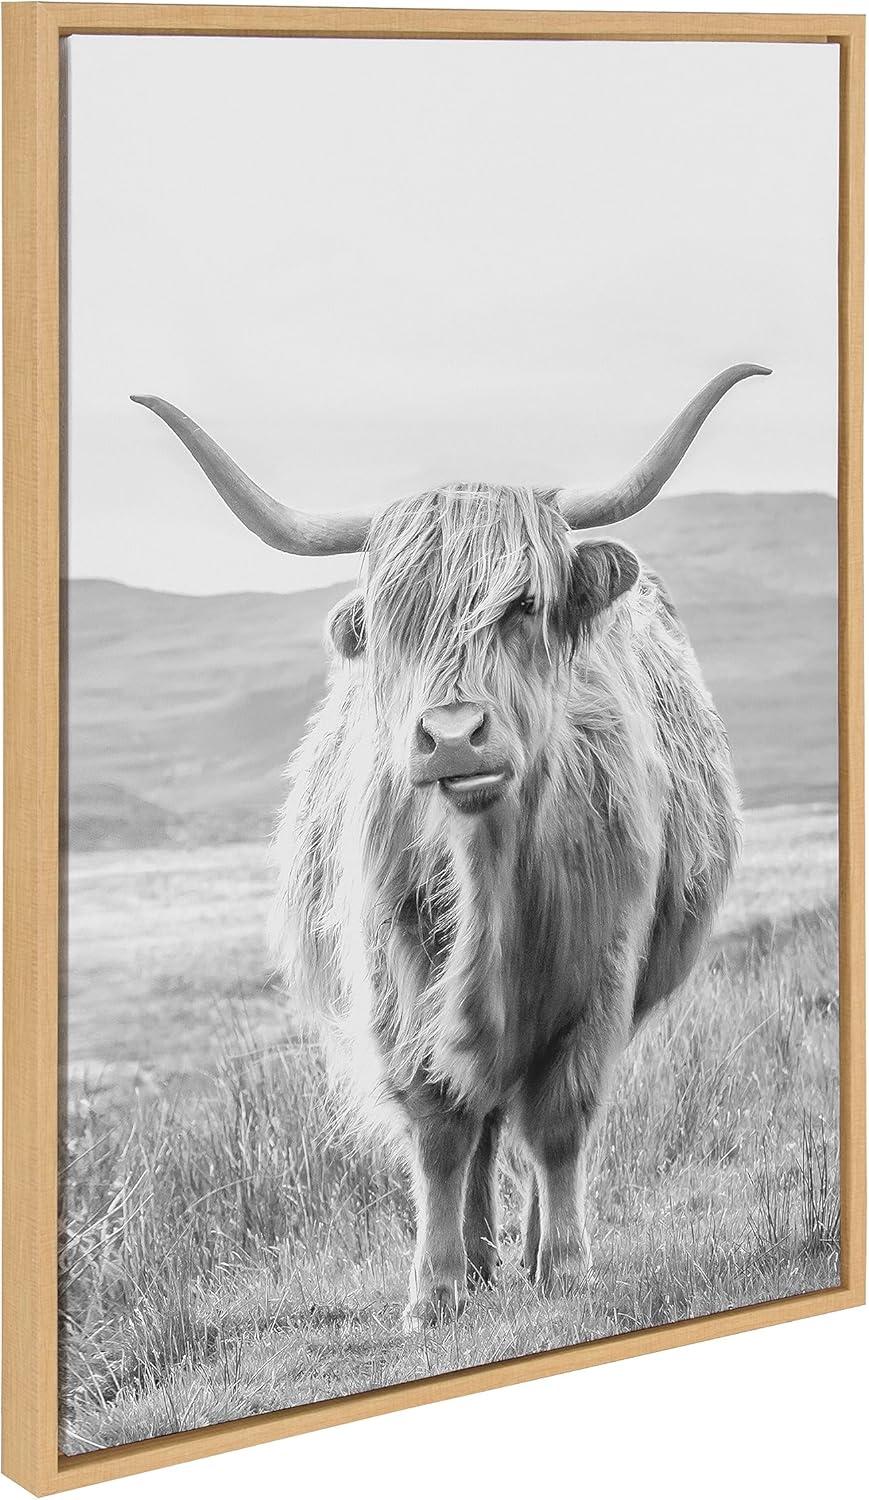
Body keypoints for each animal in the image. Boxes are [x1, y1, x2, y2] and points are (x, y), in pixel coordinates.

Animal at [132, 364, 765, 1328]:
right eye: (393, 620)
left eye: (524, 606)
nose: (452, 737)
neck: (487, 877)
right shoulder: (393, 973)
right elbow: (438, 1122)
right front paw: (432, 1290)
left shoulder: (603, 967)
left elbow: (560, 1116)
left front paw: (565, 1267)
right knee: (479, 1119)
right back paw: (475, 1255)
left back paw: (529, 1248)